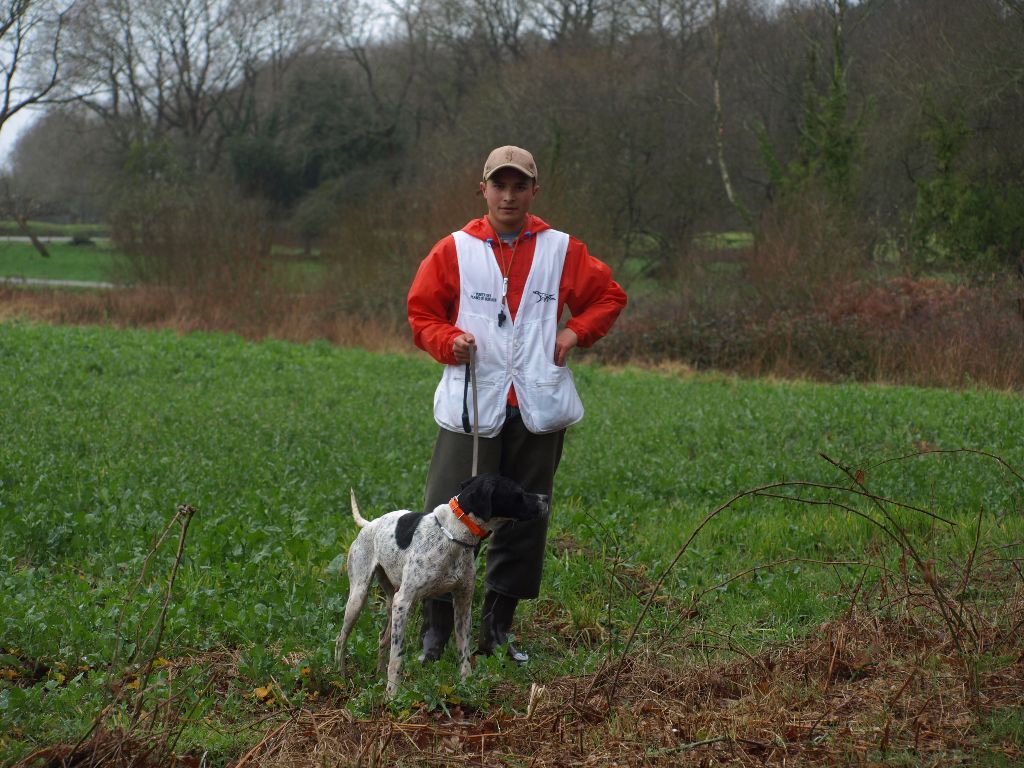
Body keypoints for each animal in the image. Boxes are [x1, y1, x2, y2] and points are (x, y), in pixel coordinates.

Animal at [335, 475, 548, 696]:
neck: (455, 534)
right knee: (341, 639)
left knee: (383, 638)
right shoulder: (403, 601)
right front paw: (392, 693)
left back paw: (378, 675)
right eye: (518, 492)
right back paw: (341, 676)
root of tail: (370, 524)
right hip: (360, 598)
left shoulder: (462, 605)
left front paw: (466, 685)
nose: (546, 498)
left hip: (391, 602)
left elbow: (464, 651)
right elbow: (398, 656)